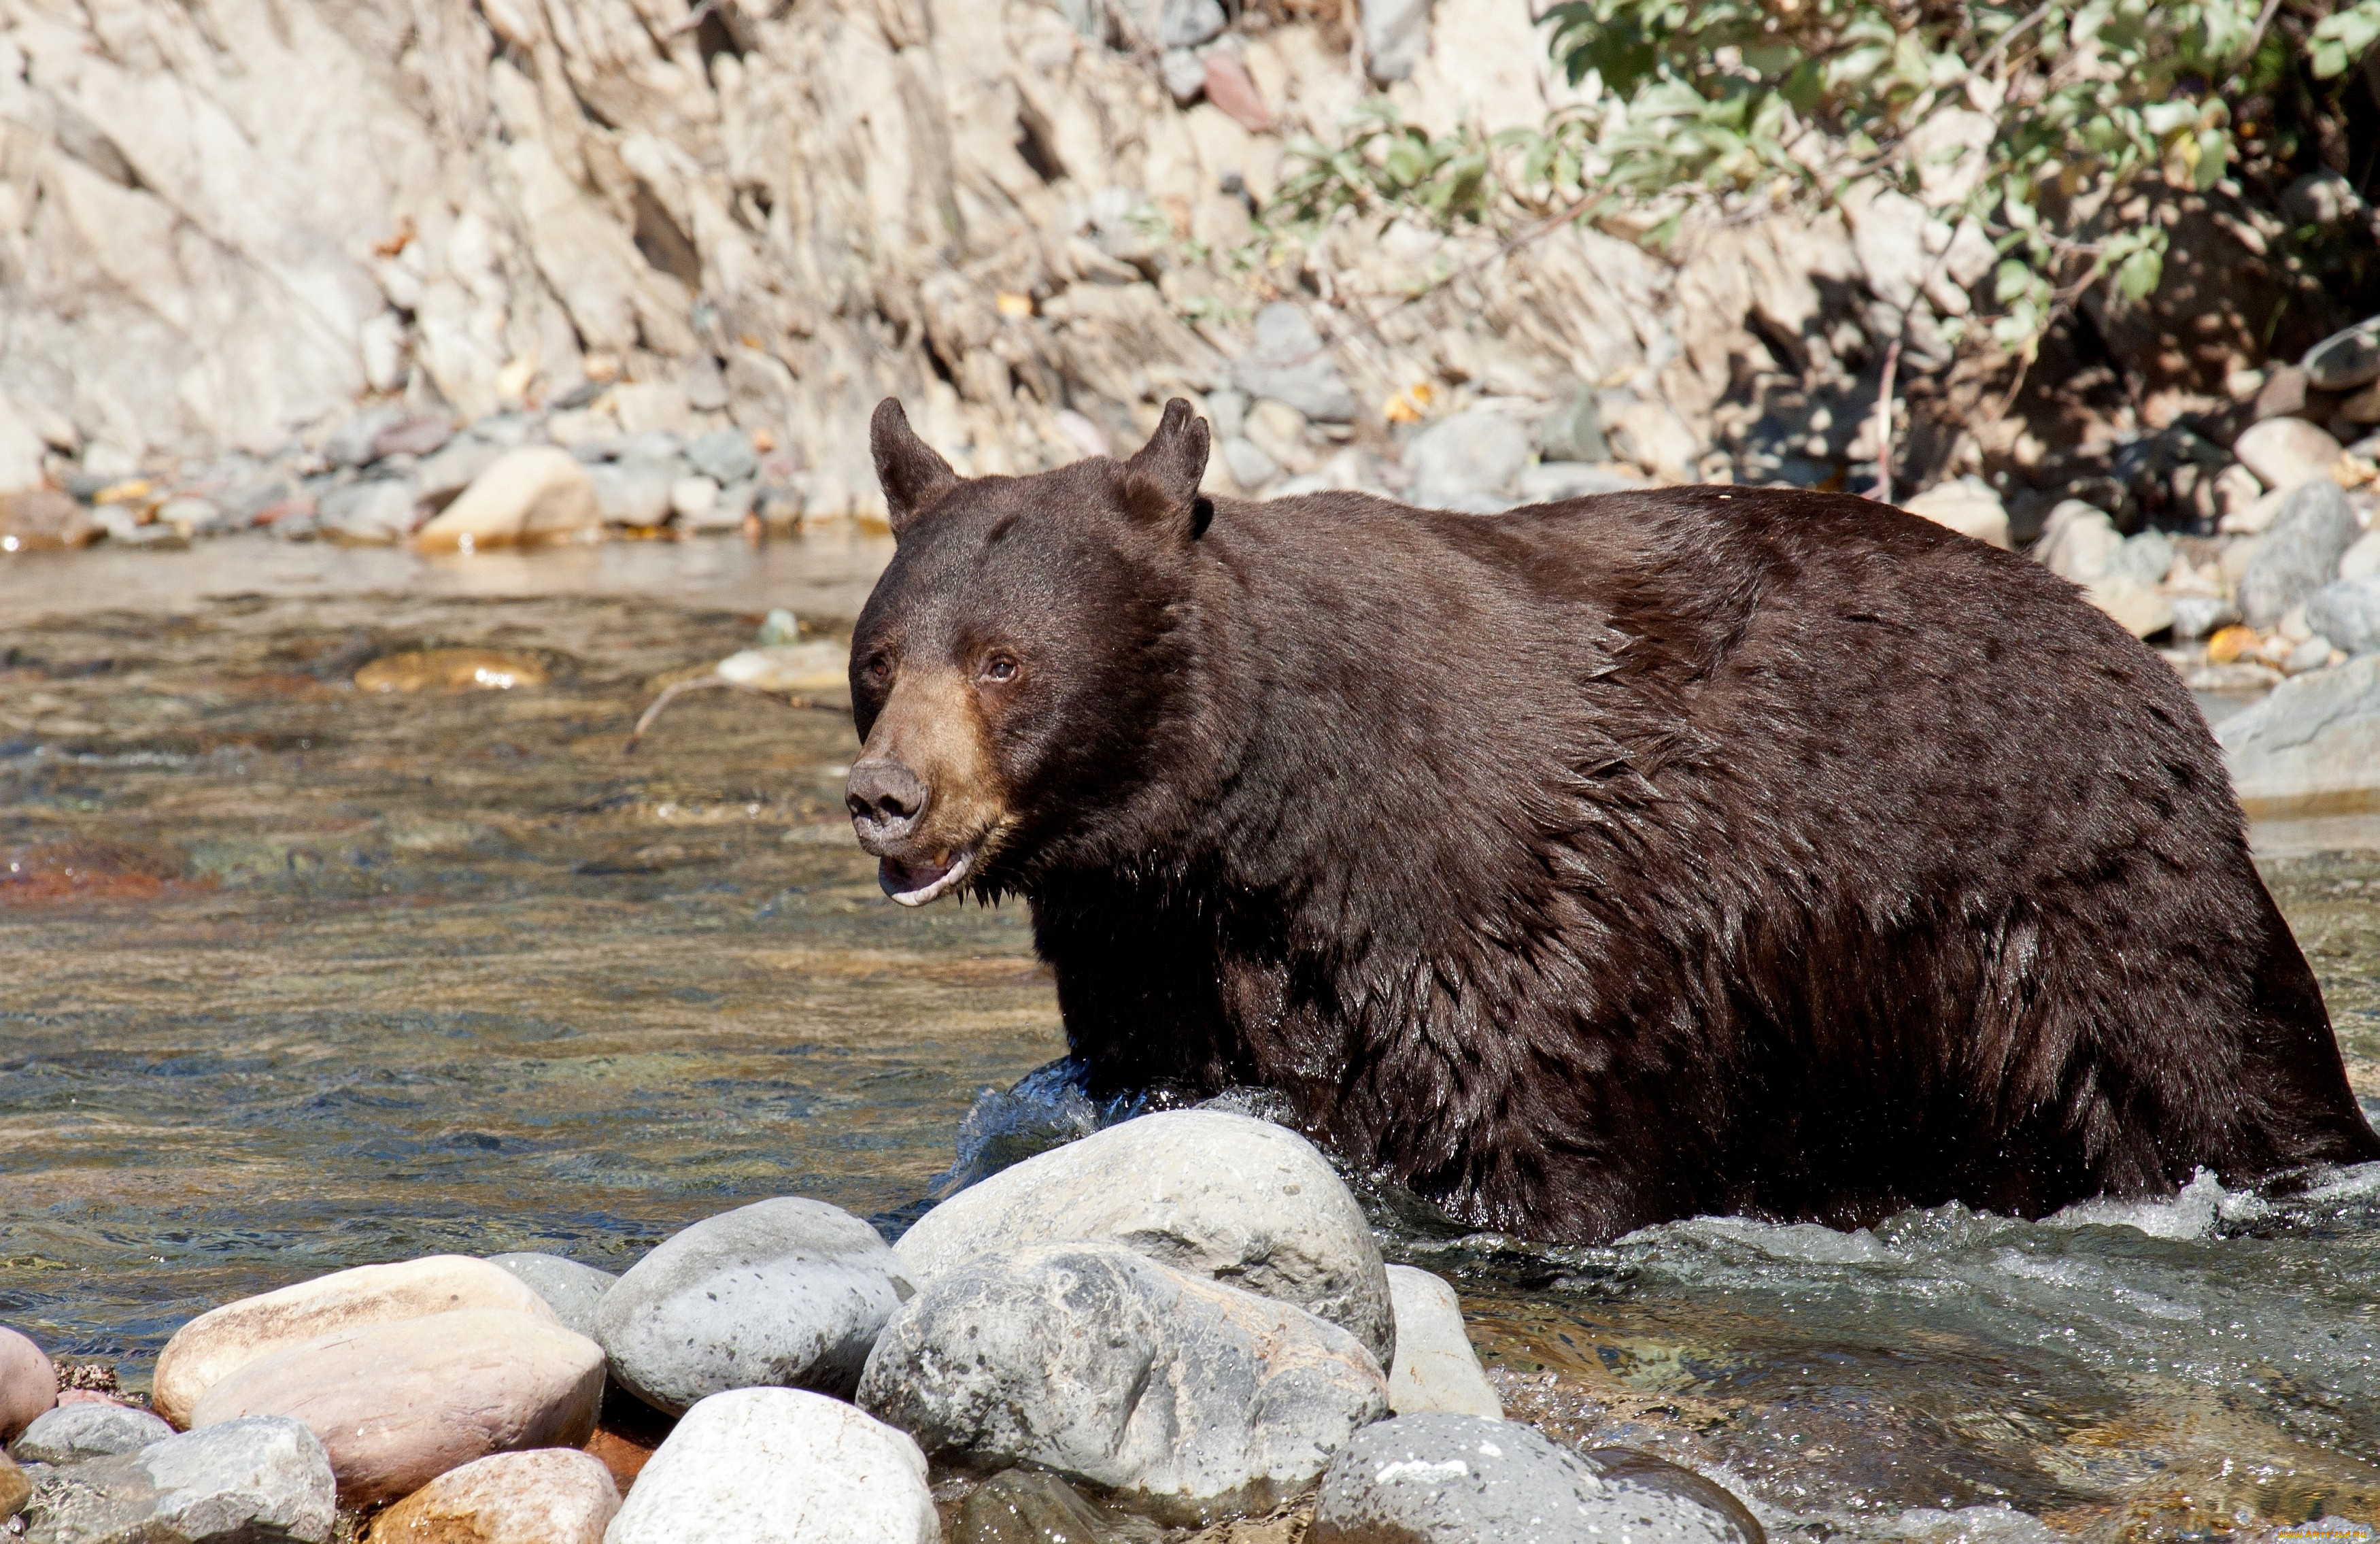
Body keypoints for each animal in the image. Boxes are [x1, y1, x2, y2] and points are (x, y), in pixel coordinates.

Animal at [843, 397, 2380, 1237]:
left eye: (1002, 659)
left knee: (2222, 1065)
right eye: (879, 659)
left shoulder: (1500, 924)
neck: (1249, 821)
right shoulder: (1155, 949)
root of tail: (2151, 668)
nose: (883, 795)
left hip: (2089, 905)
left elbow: (1536, 1133)